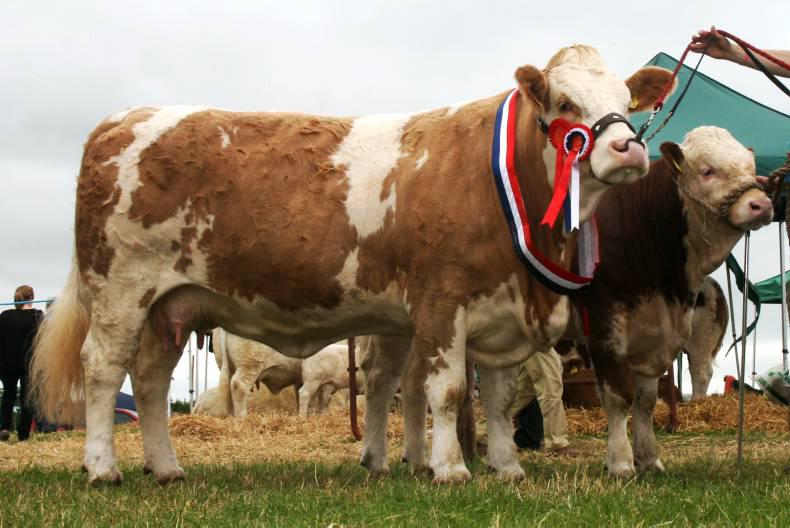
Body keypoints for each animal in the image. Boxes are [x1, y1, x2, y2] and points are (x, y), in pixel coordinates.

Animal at [211, 328, 361, 418]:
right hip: (250, 363)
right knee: (239, 385)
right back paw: (242, 417)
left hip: (226, 364)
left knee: (228, 387)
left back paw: (232, 415)